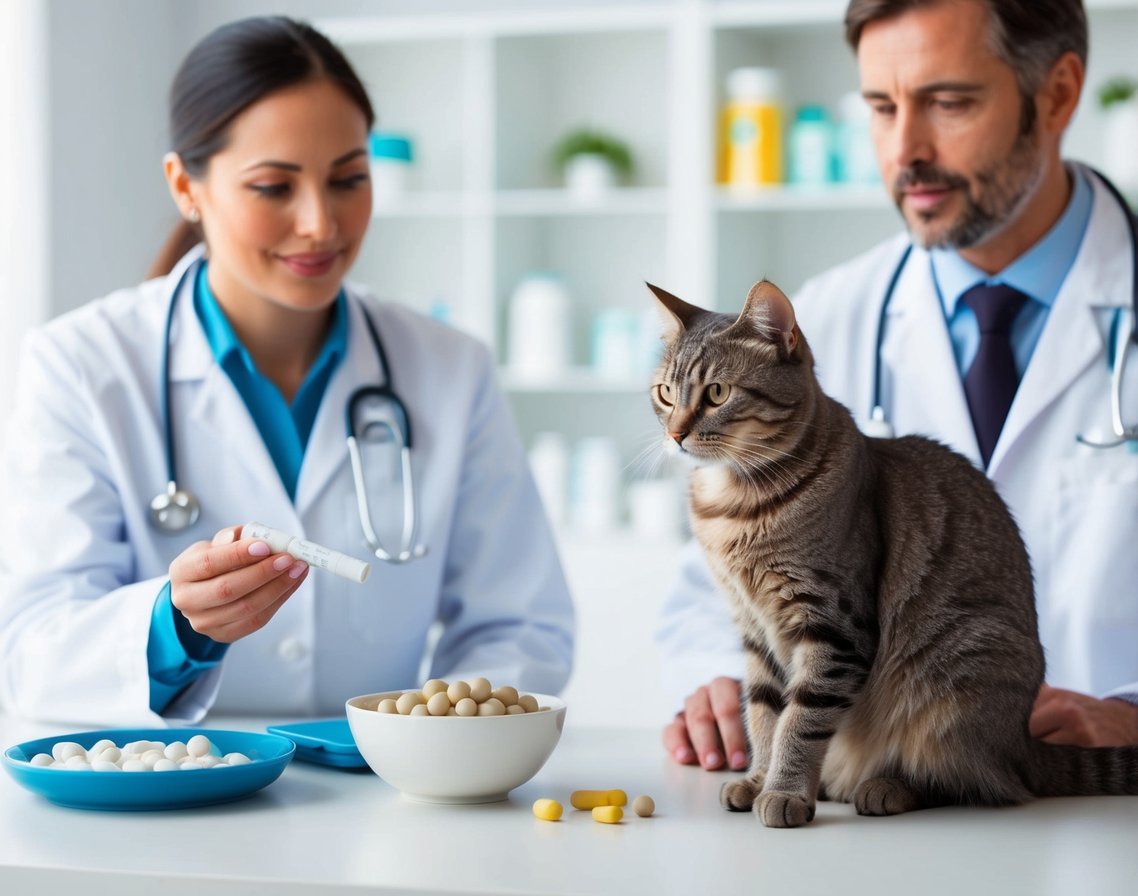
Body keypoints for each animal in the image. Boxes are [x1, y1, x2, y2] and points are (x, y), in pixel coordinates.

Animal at [650, 278, 1138, 828]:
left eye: (717, 393)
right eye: (664, 393)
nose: (675, 433)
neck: (732, 507)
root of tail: (1021, 743)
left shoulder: (833, 624)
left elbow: (800, 720)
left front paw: (785, 791)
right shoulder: (754, 629)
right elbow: (763, 714)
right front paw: (758, 780)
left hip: (956, 674)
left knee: (974, 781)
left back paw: (888, 787)